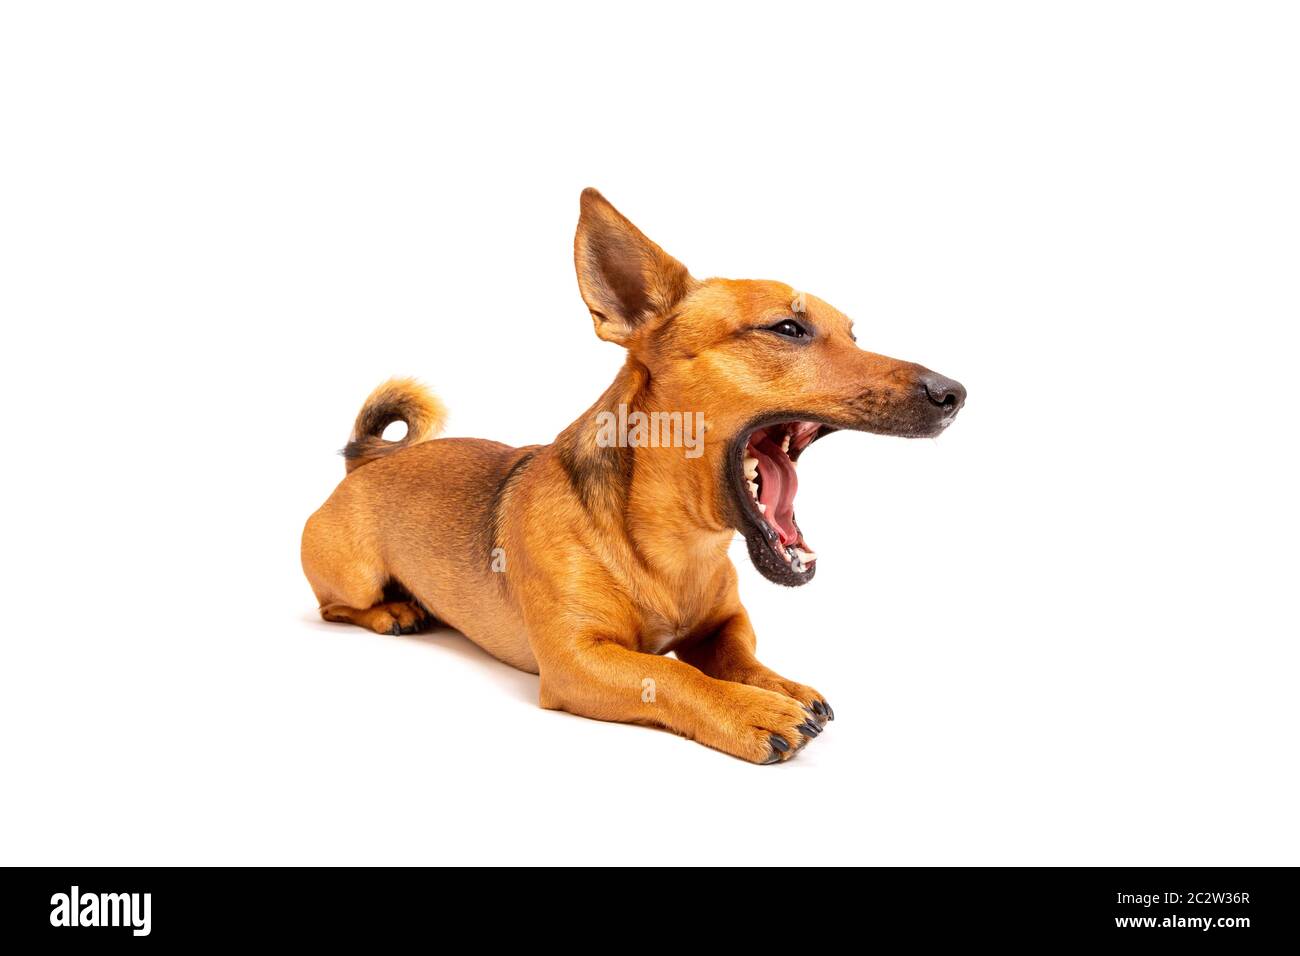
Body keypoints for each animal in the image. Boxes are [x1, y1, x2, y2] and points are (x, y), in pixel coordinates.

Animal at [299, 191, 961, 764]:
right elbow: (668, 671)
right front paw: (750, 709)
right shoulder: (576, 660)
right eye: (788, 329)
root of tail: (368, 460)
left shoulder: (726, 622)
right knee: (336, 608)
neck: (680, 543)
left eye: (854, 334)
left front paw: (776, 686)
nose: (954, 393)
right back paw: (395, 612)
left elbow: (738, 656)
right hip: (354, 576)